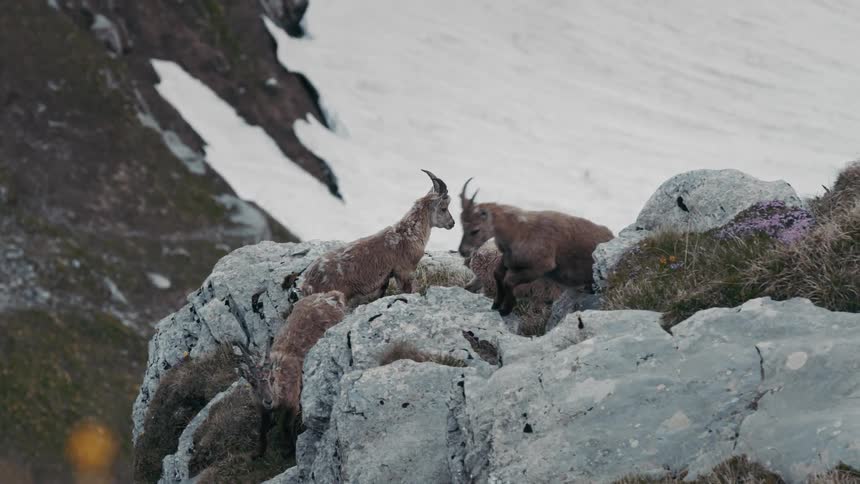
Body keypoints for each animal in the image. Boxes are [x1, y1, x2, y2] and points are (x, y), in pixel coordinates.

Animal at [301, 169, 455, 306]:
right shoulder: (404, 271)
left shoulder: (385, 280)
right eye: (443, 208)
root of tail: (307, 284)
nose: (452, 223)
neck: (409, 233)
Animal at [458, 178, 614, 316]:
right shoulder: (509, 261)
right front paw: (497, 304)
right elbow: (498, 274)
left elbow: (508, 281)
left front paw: (506, 308)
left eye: (475, 230)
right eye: (462, 225)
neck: (518, 232)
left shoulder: (541, 267)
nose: (463, 251)